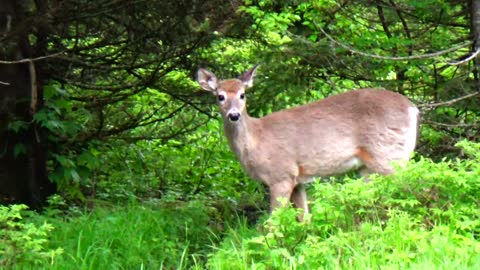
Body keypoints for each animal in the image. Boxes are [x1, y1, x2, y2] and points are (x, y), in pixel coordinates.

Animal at [197, 65, 418, 219]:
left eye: (242, 95)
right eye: (220, 96)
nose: (234, 115)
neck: (256, 142)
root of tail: (413, 109)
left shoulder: (281, 175)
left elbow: (272, 223)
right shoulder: (298, 180)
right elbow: (304, 219)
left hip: (389, 155)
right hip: (369, 168)